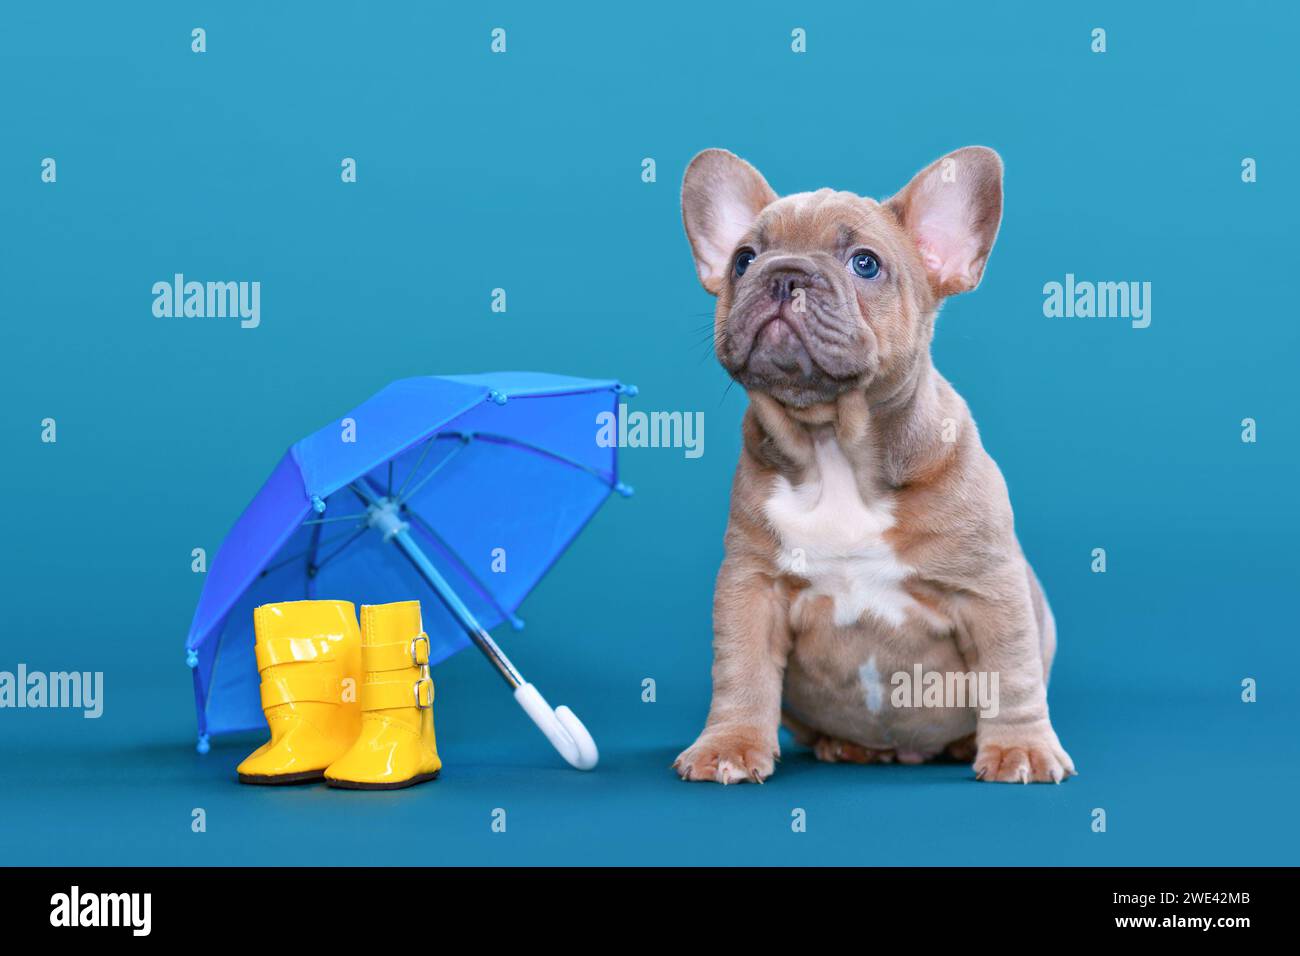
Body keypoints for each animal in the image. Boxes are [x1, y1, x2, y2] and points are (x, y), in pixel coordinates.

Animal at [676, 143, 1071, 785]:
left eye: (865, 264)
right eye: (742, 260)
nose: (783, 274)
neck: (834, 448)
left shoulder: (990, 589)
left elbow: (1010, 673)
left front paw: (1020, 750)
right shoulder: (751, 586)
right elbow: (741, 672)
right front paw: (728, 746)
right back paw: (846, 746)